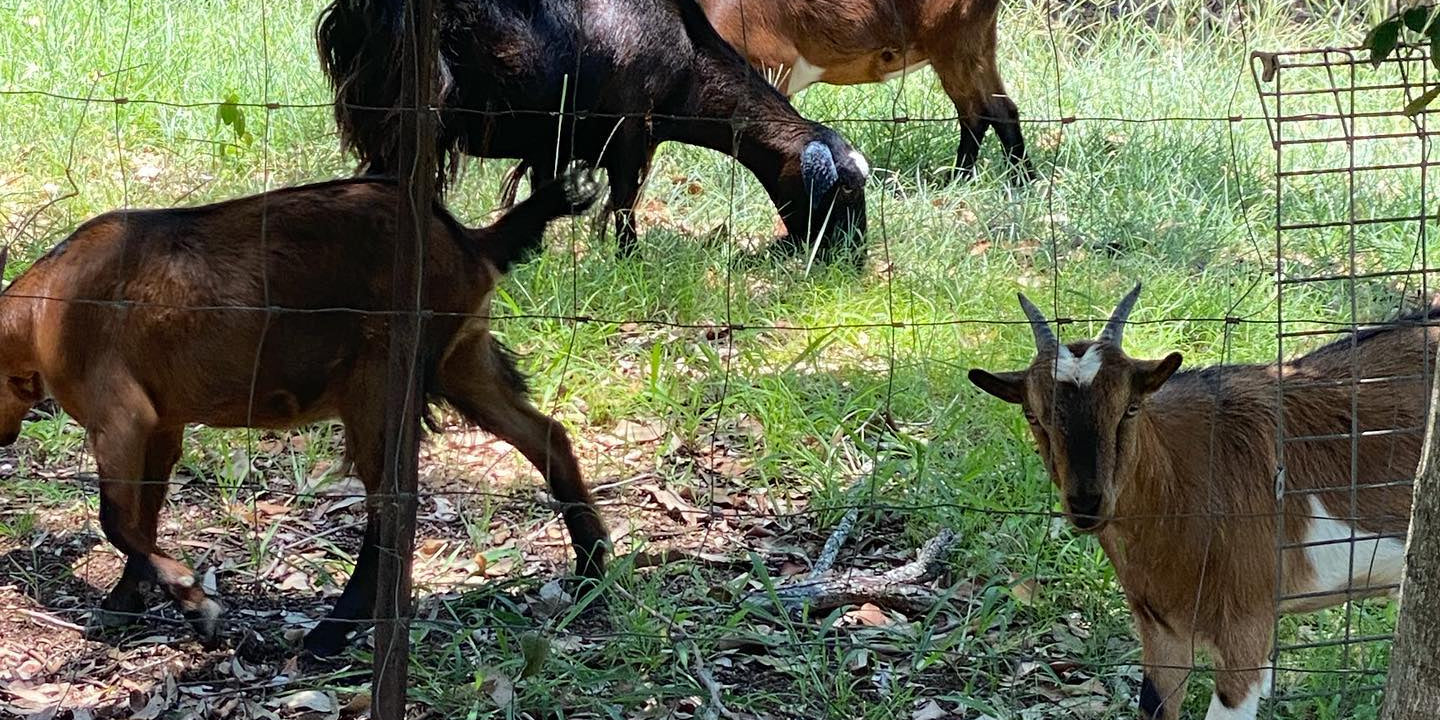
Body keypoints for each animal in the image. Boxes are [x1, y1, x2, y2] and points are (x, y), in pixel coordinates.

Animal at [0, 165, 613, 656]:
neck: (42, 307)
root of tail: (468, 243)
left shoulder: (120, 416)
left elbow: (117, 519)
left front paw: (197, 604)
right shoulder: (163, 421)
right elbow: (143, 513)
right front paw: (126, 602)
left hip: (381, 375)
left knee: (394, 504)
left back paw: (329, 635)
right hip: (462, 360)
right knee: (547, 437)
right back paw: (591, 570)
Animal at [319, 0, 869, 267]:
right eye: (844, 192)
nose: (854, 259)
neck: (687, 56)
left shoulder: (552, 140)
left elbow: (544, 190)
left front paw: (532, 255)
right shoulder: (631, 130)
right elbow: (624, 203)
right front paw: (630, 260)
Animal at [699, 0, 1031, 179]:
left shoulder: (772, 61)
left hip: (952, 39)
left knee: (977, 111)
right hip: (976, 41)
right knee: (1000, 109)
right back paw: (1018, 180)